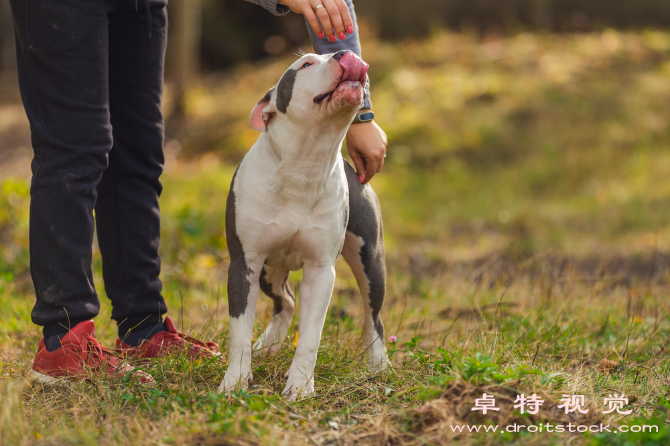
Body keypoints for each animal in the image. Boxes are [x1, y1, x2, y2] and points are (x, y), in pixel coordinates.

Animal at [218, 50, 392, 398]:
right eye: (307, 64)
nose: (345, 53)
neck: (304, 164)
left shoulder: (320, 271)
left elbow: (310, 336)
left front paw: (299, 387)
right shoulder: (245, 264)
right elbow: (239, 332)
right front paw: (235, 382)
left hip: (371, 261)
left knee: (372, 318)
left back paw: (378, 364)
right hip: (268, 271)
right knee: (285, 300)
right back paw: (268, 345)